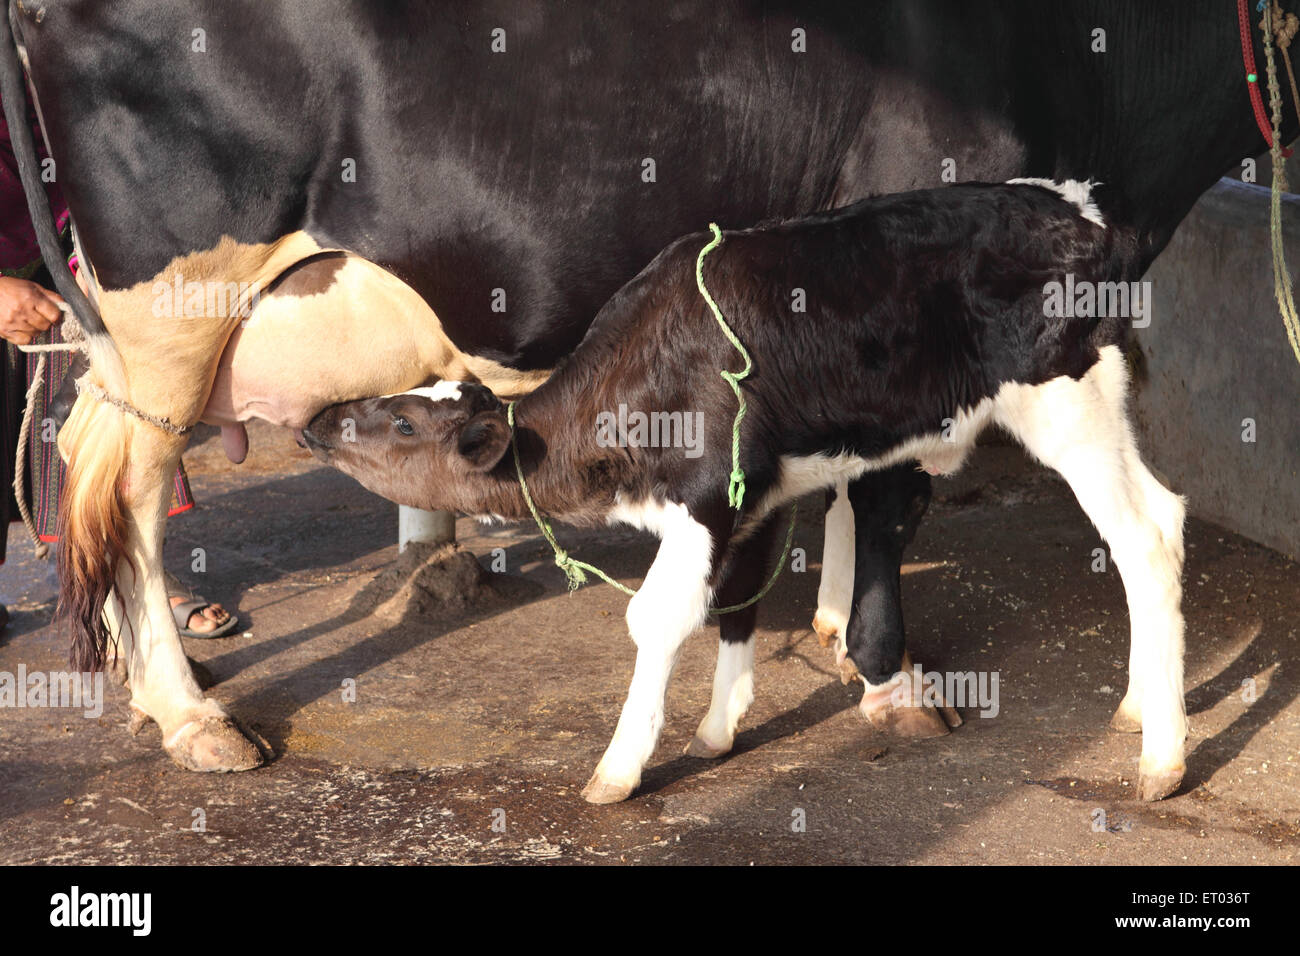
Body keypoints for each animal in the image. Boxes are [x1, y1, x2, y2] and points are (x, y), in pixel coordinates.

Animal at [303, 179, 1189, 803]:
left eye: (403, 422)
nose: (318, 420)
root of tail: (1081, 217)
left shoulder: (704, 500)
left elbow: (656, 619)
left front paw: (618, 769)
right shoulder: (758, 495)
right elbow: (737, 606)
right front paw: (718, 730)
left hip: (1064, 406)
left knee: (1141, 541)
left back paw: (1163, 759)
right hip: (1098, 400)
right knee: (1163, 521)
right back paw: (1139, 705)